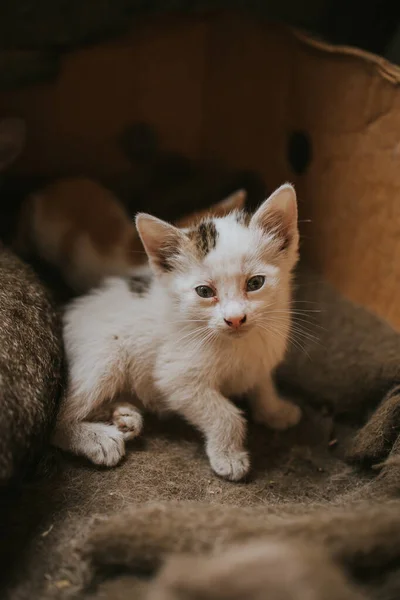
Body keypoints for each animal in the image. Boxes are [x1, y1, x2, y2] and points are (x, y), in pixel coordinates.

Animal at [54, 185, 304, 480]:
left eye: (255, 283)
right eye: (204, 291)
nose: (234, 319)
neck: (238, 344)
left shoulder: (262, 354)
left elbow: (262, 381)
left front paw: (274, 410)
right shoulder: (176, 377)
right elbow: (225, 414)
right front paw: (229, 456)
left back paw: (123, 415)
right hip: (105, 355)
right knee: (56, 420)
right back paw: (98, 438)